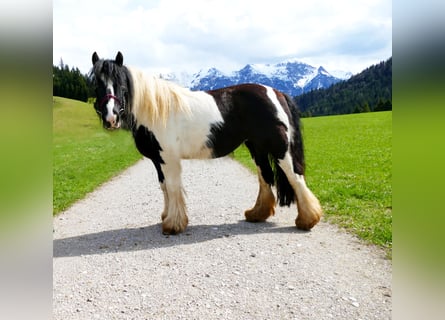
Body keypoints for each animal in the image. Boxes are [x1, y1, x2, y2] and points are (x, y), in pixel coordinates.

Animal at [90, 51, 320, 234]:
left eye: (121, 84)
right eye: (97, 84)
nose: (111, 118)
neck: (156, 110)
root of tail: (276, 93)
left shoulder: (168, 159)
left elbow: (172, 187)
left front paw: (173, 225)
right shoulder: (158, 160)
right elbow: (164, 187)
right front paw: (166, 217)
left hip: (279, 148)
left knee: (295, 177)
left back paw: (307, 220)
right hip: (257, 148)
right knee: (265, 176)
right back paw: (257, 214)